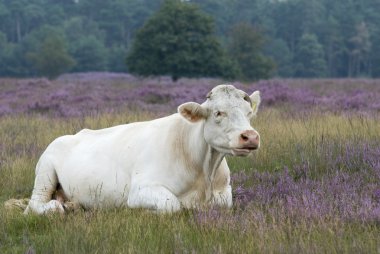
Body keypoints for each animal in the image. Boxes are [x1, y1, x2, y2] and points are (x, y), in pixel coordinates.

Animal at [23, 84, 262, 214]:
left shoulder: (224, 192)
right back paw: (58, 208)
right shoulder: (140, 190)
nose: (250, 136)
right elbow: (172, 205)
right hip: (45, 174)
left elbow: (224, 204)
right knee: (34, 205)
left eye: (249, 113)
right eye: (218, 112)